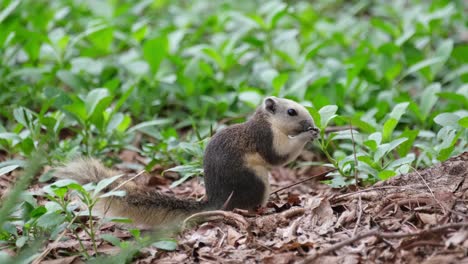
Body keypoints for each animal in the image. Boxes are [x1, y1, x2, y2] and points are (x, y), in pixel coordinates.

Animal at [54, 96, 318, 228]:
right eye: (291, 112)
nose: (311, 123)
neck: (267, 121)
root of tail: (216, 202)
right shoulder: (265, 138)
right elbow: (279, 157)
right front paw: (307, 135)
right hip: (256, 182)